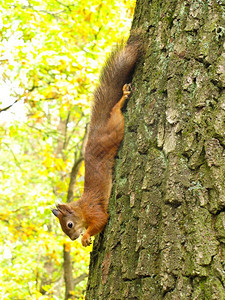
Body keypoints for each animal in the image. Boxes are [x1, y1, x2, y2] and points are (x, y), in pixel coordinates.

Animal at [51, 34, 142, 247]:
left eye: (69, 225)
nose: (74, 238)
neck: (82, 209)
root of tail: (95, 133)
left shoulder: (95, 210)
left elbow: (101, 220)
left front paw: (86, 237)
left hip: (114, 129)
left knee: (115, 111)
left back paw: (123, 97)